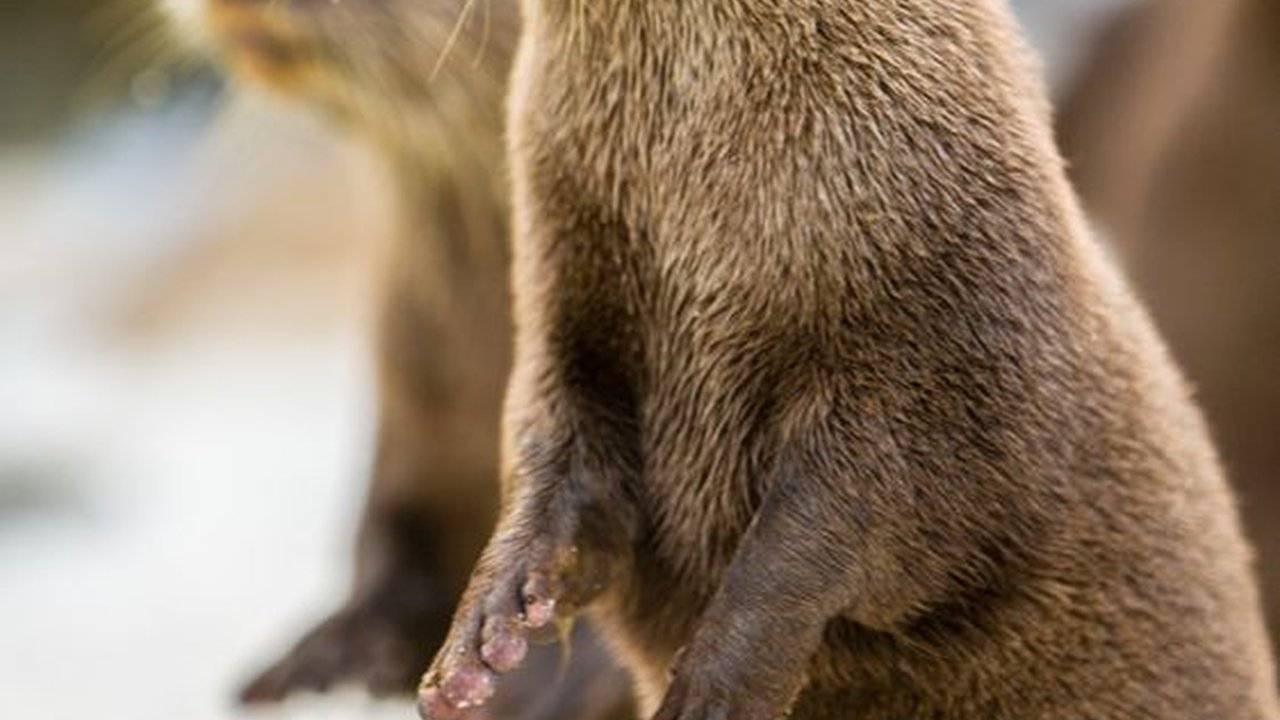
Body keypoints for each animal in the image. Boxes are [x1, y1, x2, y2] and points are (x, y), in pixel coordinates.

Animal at [418, 1, 1279, 718]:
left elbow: (833, 536)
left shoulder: (947, 354)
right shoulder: (568, 292)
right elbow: (557, 447)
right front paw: (492, 623)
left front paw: (715, 687)